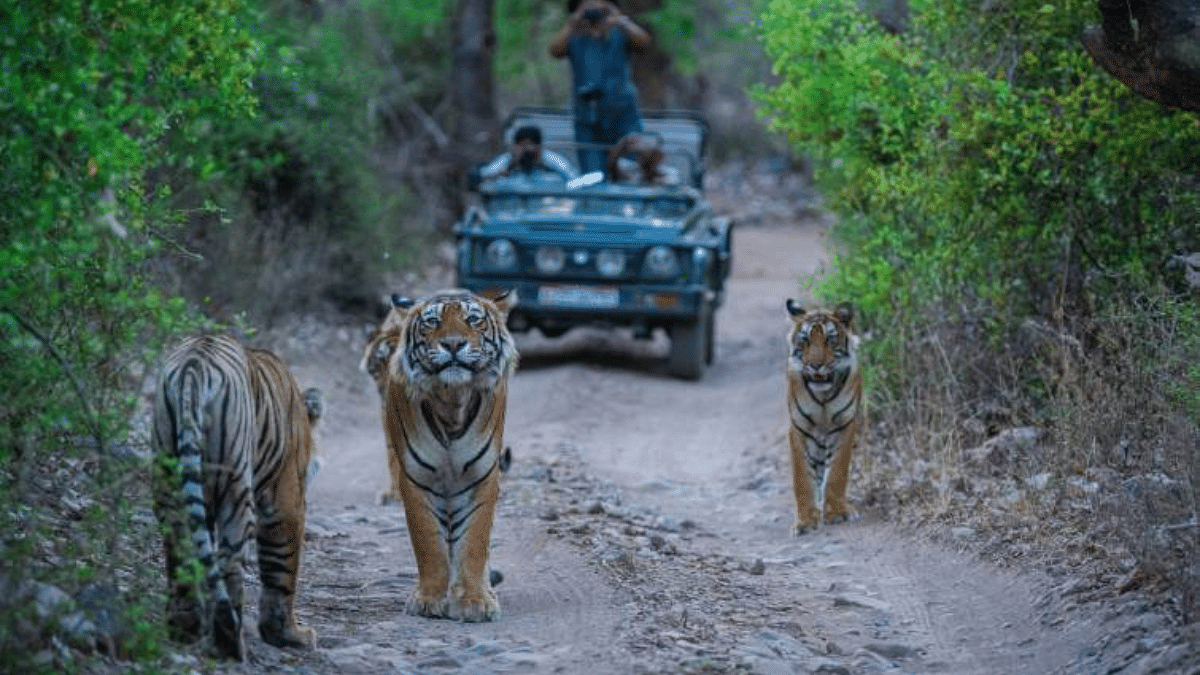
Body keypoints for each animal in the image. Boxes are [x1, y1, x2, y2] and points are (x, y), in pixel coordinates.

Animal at [150, 333, 324, 658]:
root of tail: (194, 365)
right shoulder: (286, 499)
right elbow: (282, 567)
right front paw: (289, 634)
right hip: (236, 487)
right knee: (227, 561)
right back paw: (229, 641)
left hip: (168, 477)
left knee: (182, 553)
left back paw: (186, 629)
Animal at [374, 285, 516, 619]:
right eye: (432, 322)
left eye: (473, 320)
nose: (453, 344)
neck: (453, 400)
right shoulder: (417, 478)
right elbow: (428, 541)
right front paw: (429, 600)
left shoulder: (481, 477)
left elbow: (475, 540)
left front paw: (475, 602)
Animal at [787, 296, 864, 533]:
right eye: (805, 340)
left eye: (830, 339)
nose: (816, 365)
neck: (823, 397)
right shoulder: (799, 429)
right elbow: (802, 478)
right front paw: (804, 522)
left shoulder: (844, 427)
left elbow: (837, 472)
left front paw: (837, 513)